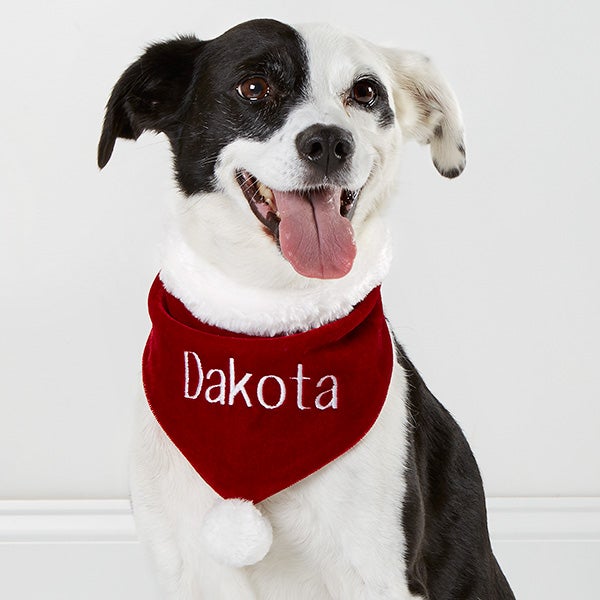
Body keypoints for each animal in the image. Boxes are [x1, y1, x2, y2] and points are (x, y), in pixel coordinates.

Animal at [98, 18, 516, 600]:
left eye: (366, 91)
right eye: (254, 87)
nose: (329, 143)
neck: (267, 321)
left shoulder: (378, 572)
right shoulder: (181, 568)